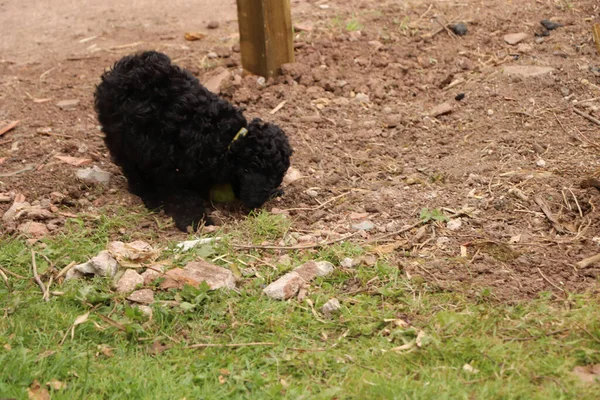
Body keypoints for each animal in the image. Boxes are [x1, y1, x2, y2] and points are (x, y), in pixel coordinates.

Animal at [94, 50, 292, 231]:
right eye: (264, 174)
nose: (260, 202)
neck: (225, 139)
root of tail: (125, 64)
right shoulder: (170, 168)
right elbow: (183, 196)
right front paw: (194, 220)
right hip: (121, 138)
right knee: (132, 169)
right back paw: (150, 196)